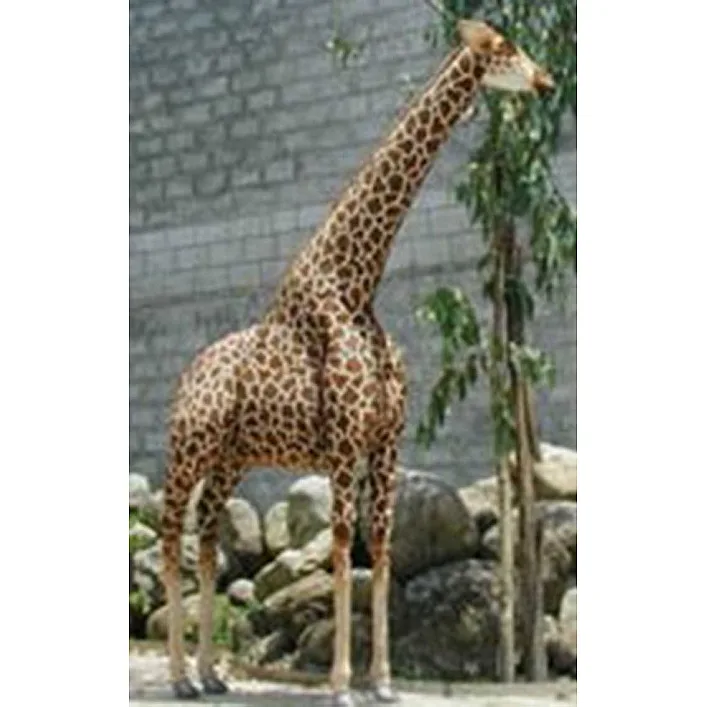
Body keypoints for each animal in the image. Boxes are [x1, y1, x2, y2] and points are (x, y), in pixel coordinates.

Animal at [160, 19, 553, 705]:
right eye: (504, 48)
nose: (547, 80)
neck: (355, 284)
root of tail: (189, 372)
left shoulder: (386, 441)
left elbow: (383, 550)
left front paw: (385, 681)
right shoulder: (344, 443)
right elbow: (345, 548)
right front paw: (342, 684)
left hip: (231, 459)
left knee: (206, 539)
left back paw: (210, 675)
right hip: (189, 449)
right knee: (169, 535)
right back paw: (181, 677)